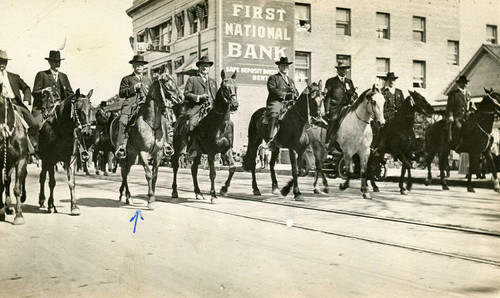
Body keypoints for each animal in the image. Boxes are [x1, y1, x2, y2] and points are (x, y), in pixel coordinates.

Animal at [172, 71, 238, 204]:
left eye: (236, 87)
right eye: (225, 88)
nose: (235, 105)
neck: (220, 124)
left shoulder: (227, 150)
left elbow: (232, 168)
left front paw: (224, 189)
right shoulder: (211, 153)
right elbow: (212, 173)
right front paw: (213, 195)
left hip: (197, 151)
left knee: (193, 169)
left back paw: (198, 192)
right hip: (178, 147)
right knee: (176, 166)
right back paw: (175, 191)